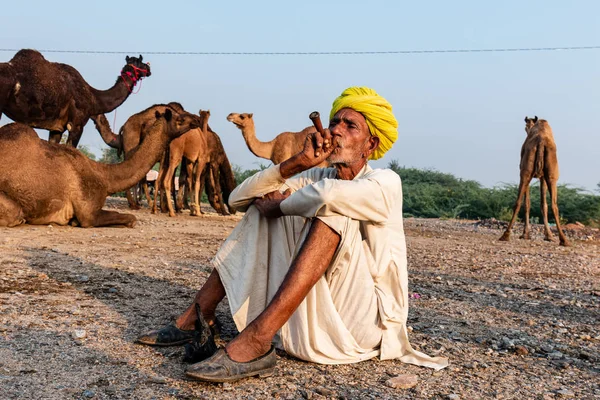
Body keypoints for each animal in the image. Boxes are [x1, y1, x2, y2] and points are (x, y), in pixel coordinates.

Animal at [0, 108, 202, 228]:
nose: (197, 119)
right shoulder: (88, 211)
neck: (105, 176)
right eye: (180, 118)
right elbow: (131, 219)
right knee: (16, 214)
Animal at [500, 116, 568, 247]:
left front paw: (526, 234)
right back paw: (564, 240)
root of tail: (541, 141)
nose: (527, 130)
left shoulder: (528, 172)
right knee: (554, 204)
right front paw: (547, 236)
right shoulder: (542, 177)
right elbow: (542, 204)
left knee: (518, 202)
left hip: (525, 172)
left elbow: (528, 203)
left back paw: (505, 235)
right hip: (551, 175)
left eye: (526, 127)